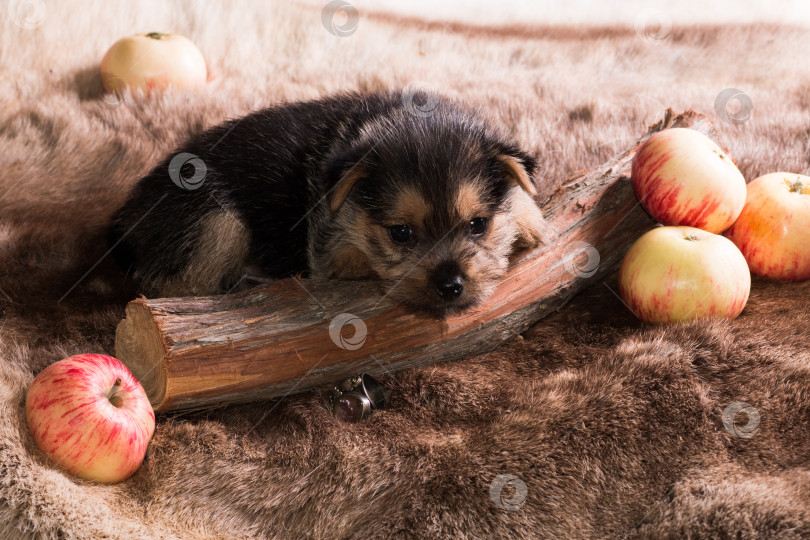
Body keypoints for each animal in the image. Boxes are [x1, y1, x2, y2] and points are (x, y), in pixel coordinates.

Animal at [107, 90, 548, 314]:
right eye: (401, 234)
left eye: (478, 225)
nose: (451, 286)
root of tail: (126, 211)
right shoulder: (330, 251)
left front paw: (530, 221)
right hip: (214, 217)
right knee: (170, 285)